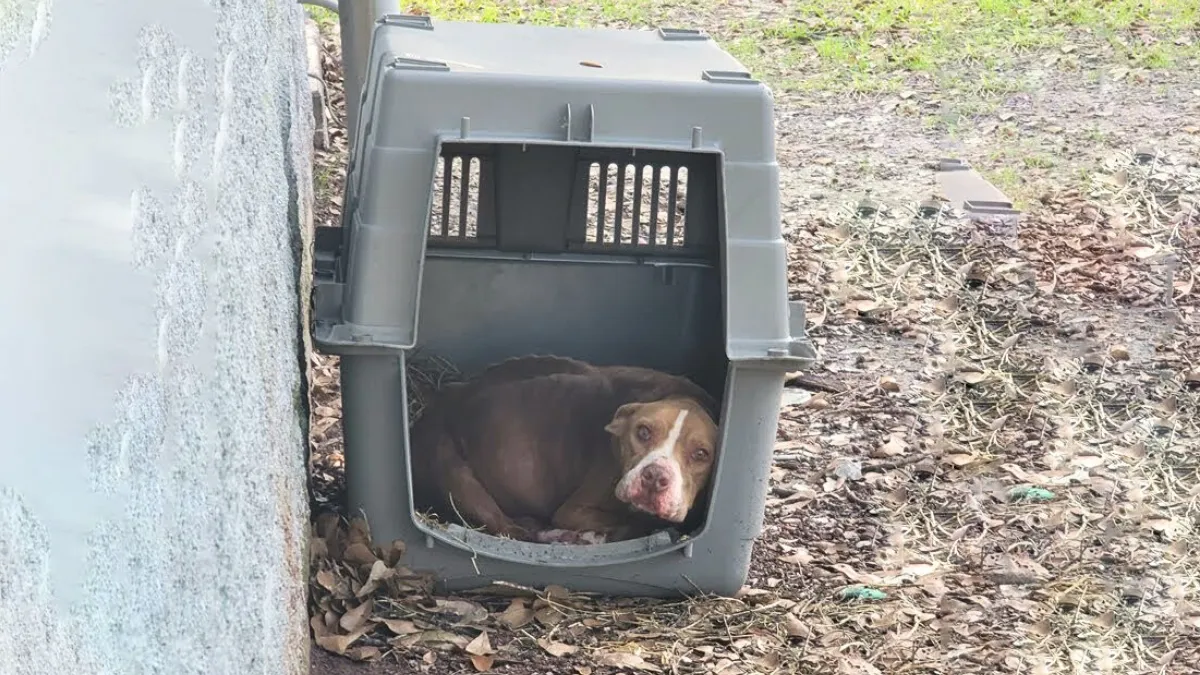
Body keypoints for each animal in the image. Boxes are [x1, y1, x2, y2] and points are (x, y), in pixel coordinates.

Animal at [410, 355, 720, 542]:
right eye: (642, 431)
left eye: (701, 454)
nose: (655, 477)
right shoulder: (574, 510)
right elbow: (632, 522)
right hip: (453, 472)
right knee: (507, 527)